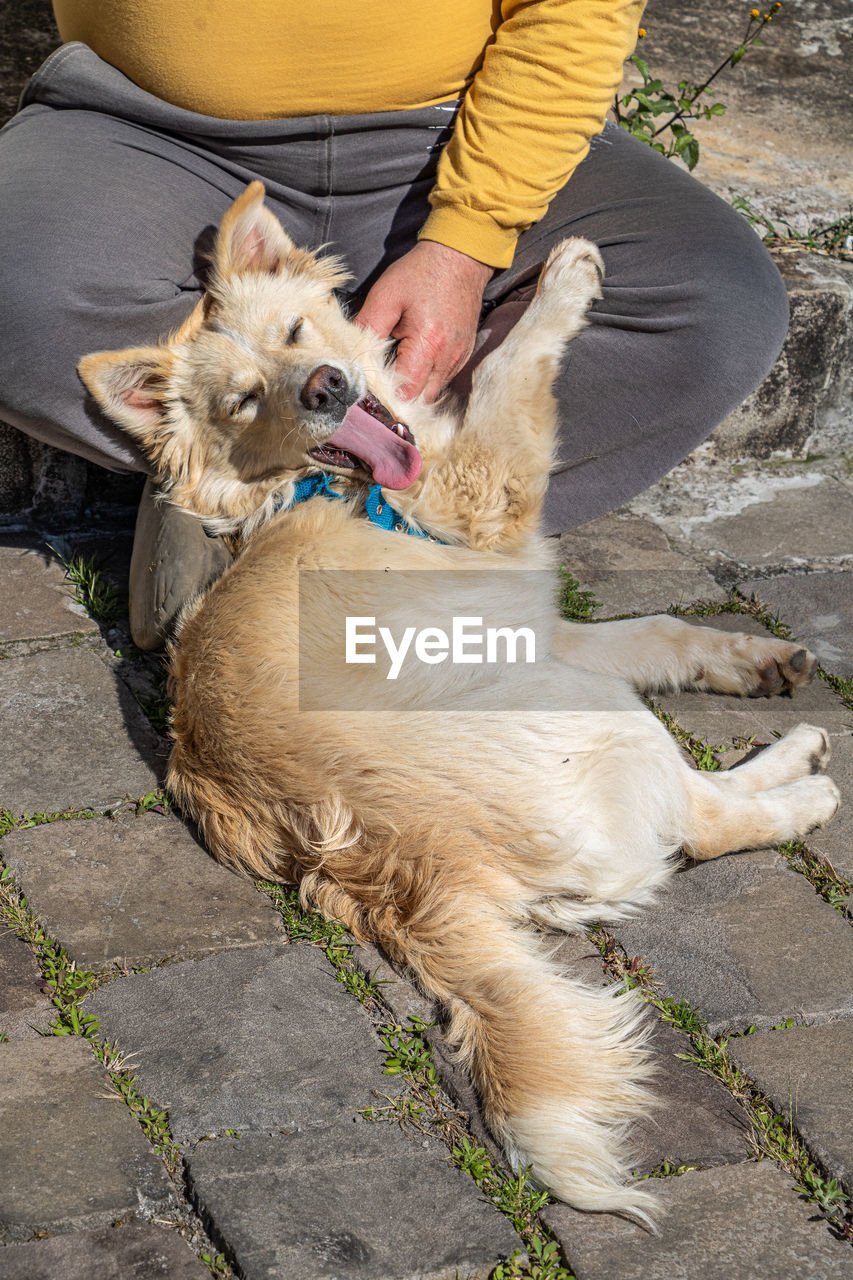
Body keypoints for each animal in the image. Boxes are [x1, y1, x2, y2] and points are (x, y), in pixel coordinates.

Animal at [79, 185, 835, 1223]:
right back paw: (803, 782)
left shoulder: (527, 613)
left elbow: (661, 632)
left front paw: (752, 658)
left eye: (295, 332)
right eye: (244, 398)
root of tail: (405, 872)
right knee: (705, 822)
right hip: (583, 708)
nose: (325, 387)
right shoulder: (494, 502)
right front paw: (563, 281)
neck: (325, 486)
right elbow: (511, 374)